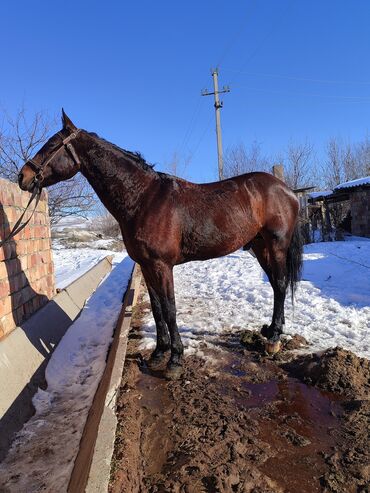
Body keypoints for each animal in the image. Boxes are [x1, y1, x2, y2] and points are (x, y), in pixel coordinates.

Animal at [17, 110, 302, 376]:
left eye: (52, 145)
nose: (23, 176)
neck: (144, 198)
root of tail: (286, 189)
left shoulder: (162, 265)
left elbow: (170, 308)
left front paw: (175, 360)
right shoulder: (146, 266)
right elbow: (157, 309)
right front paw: (158, 353)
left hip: (276, 245)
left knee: (279, 283)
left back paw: (274, 339)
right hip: (260, 246)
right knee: (277, 285)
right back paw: (269, 331)